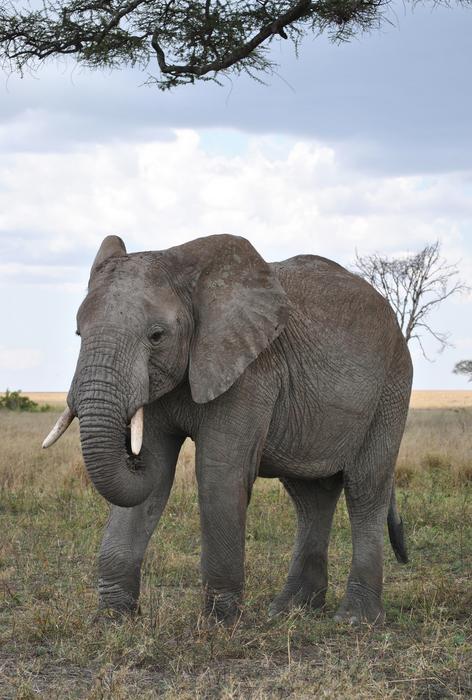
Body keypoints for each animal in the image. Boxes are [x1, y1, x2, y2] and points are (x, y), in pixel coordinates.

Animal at [43, 233, 412, 625]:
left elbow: (218, 473)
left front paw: (219, 623)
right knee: (311, 498)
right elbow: (155, 477)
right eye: (78, 333)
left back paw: (356, 619)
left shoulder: (250, 370)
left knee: (365, 487)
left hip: (391, 386)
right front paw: (113, 619)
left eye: (157, 336)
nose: (129, 448)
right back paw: (288, 611)